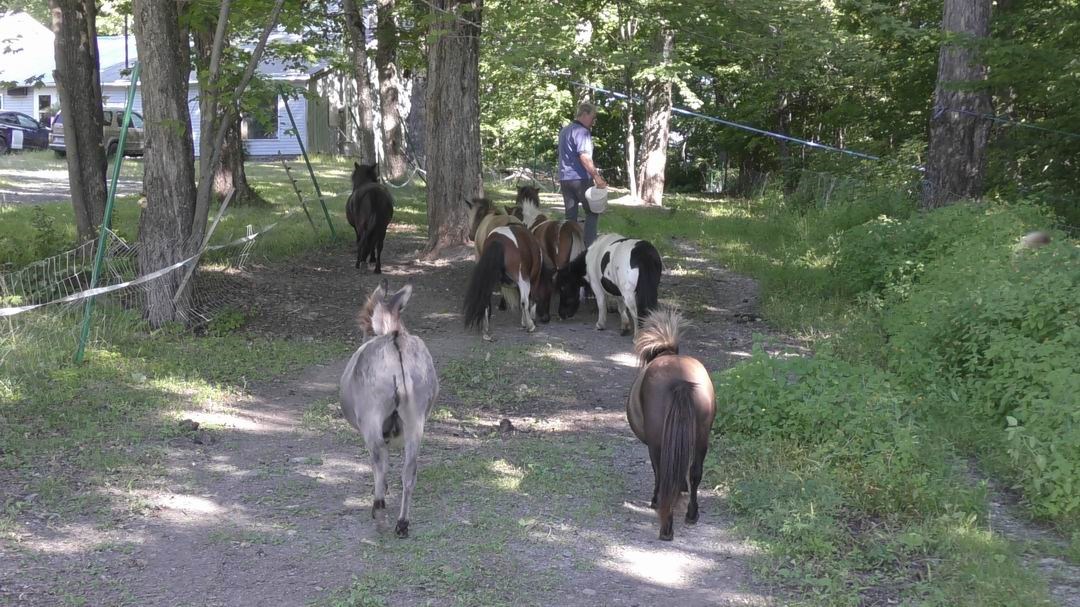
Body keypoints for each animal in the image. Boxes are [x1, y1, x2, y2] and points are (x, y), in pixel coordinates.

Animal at [340, 280, 439, 538]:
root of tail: (395, 342)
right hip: (416, 420)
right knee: (410, 469)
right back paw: (402, 522)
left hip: (372, 418)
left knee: (380, 459)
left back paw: (380, 511)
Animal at [626, 307, 716, 541]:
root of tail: (680, 381)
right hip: (701, 438)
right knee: (695, 472)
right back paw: (692, 514)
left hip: (658, 441)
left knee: (664, 473)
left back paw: (666, 524)